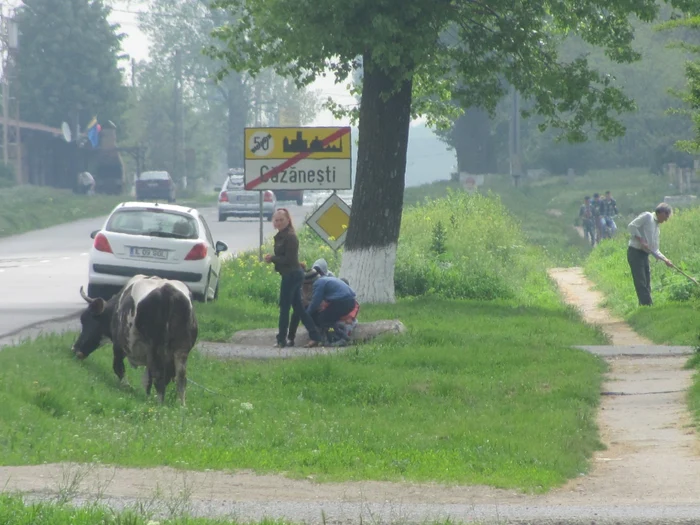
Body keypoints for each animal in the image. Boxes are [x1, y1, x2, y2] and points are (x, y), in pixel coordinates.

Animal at [73, 272, 198, 404]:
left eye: (85, 319)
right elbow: (147, 380)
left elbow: (118, 367)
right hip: (182, 350)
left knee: (159, 376)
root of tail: (169, 291)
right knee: (181, 379)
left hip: (156, 348)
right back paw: (181, 405)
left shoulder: (118, 345)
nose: (75, 349)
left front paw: (127, 387)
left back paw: (160, 404)